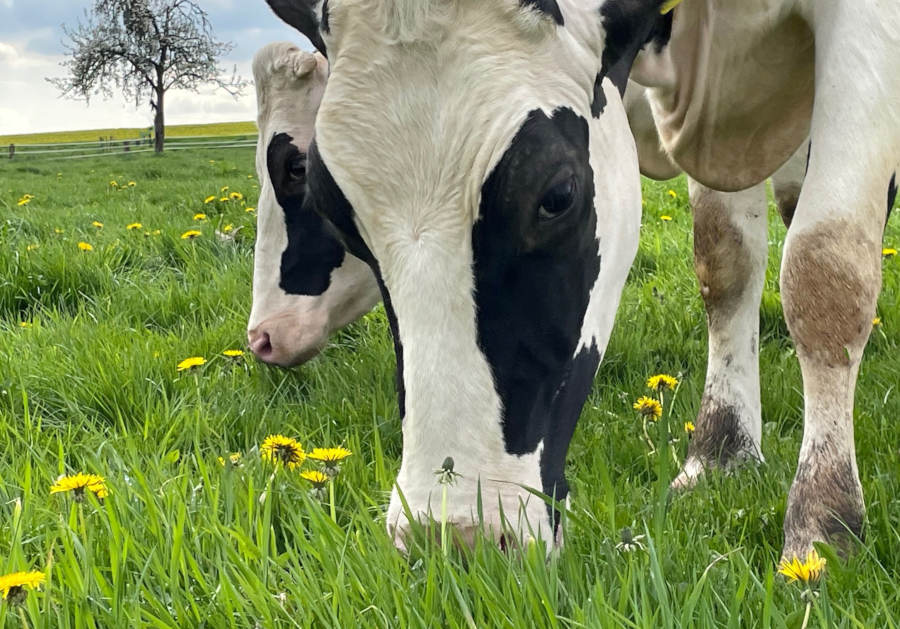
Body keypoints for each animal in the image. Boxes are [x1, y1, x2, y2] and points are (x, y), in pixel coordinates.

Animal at [262, 0, 900, 560]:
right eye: (337, 214)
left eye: (557, 196)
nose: (454, 539)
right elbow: (725, 261)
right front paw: (721, 451)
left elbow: (824, 266)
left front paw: (825, 521)